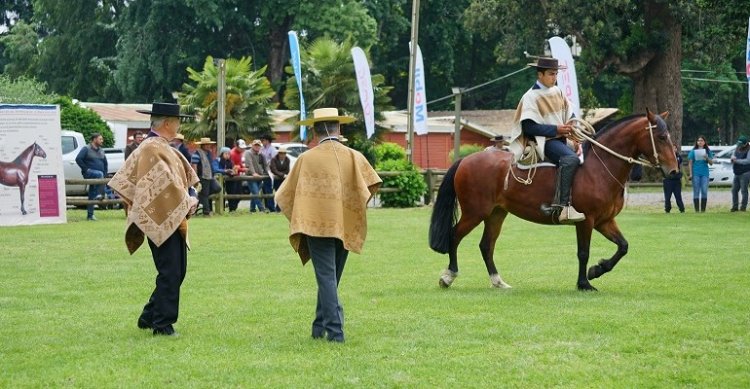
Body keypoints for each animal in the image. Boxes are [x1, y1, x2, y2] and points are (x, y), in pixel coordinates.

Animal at [428, 110, 680, 290]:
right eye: (661, 137)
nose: (674, 171)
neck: (599, 167)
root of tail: (465, 160)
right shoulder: (586, 221)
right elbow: (583, 252)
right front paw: (584, 283)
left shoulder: (604, 221)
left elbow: (623, 246)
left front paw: (597, 270)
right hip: (475, 213)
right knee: (454, 236)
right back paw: (448, 276)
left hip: (496, 214)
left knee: (486, 245)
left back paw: (498, 281)